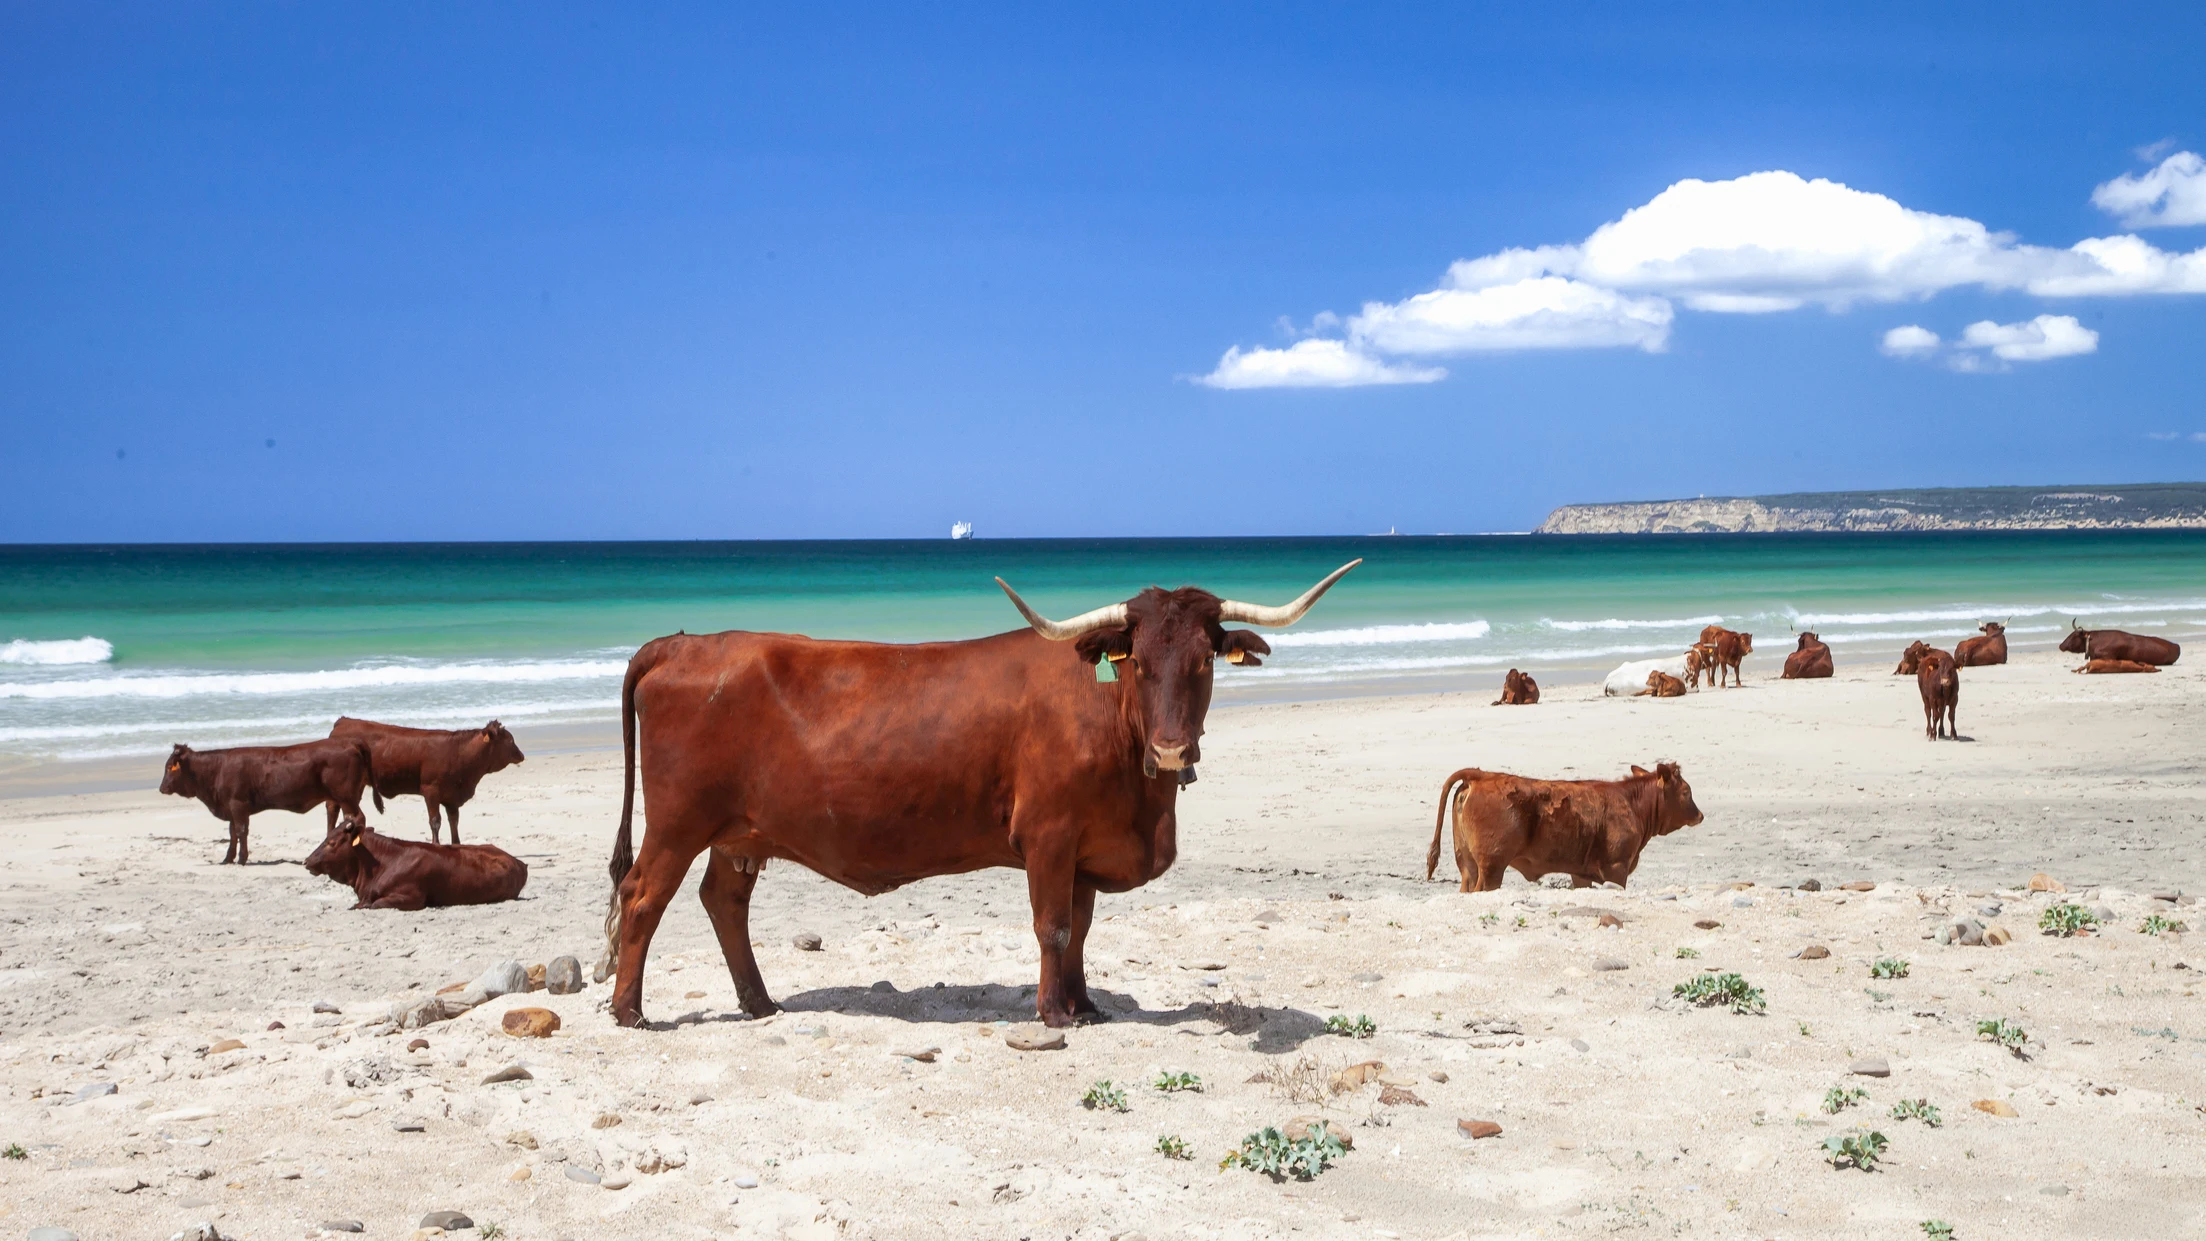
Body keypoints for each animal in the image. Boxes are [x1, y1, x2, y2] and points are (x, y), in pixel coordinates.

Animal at [158, 739, 372, 864]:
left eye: (169, 767)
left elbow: (241, 831)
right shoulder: (230, 808)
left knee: (357, 819)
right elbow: (232, 833)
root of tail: (350, 744)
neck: (217, 769)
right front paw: (228, 858)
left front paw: (242, 859)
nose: (161, 788)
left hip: (347, 798)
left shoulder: (238, 805)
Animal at [328, 717, 526, 844]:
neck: (459, 753)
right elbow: (435, 821)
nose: (521, 755)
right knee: (335, 810)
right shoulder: (431, 790)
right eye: (509, 740)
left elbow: (454, 820)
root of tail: (343, 721)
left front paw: (456, 843)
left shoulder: (451, 796)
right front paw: (436, 844)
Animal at [596, 562, 1361, 1029]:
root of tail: (683, 642)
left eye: (1203, 663)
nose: (1172, 749)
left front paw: (1085, 1005)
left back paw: (760, 1003)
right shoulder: (1049, 835)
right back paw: (631, 1011)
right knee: (643, 897)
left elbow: (1080, 929)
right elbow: (1053, 927)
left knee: (723, 902)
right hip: (678, 822)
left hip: (740, 833)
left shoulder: (1084, 851)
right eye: (1139, 664)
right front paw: (1054, 1013)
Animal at [1424, 762, 1704, 892]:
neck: (1631, 802)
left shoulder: (1582, 874)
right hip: (1491, 867)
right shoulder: (1617, 868)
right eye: (1687, 791)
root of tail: (1481, 775)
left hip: (1468, 865)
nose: (1700, 815)